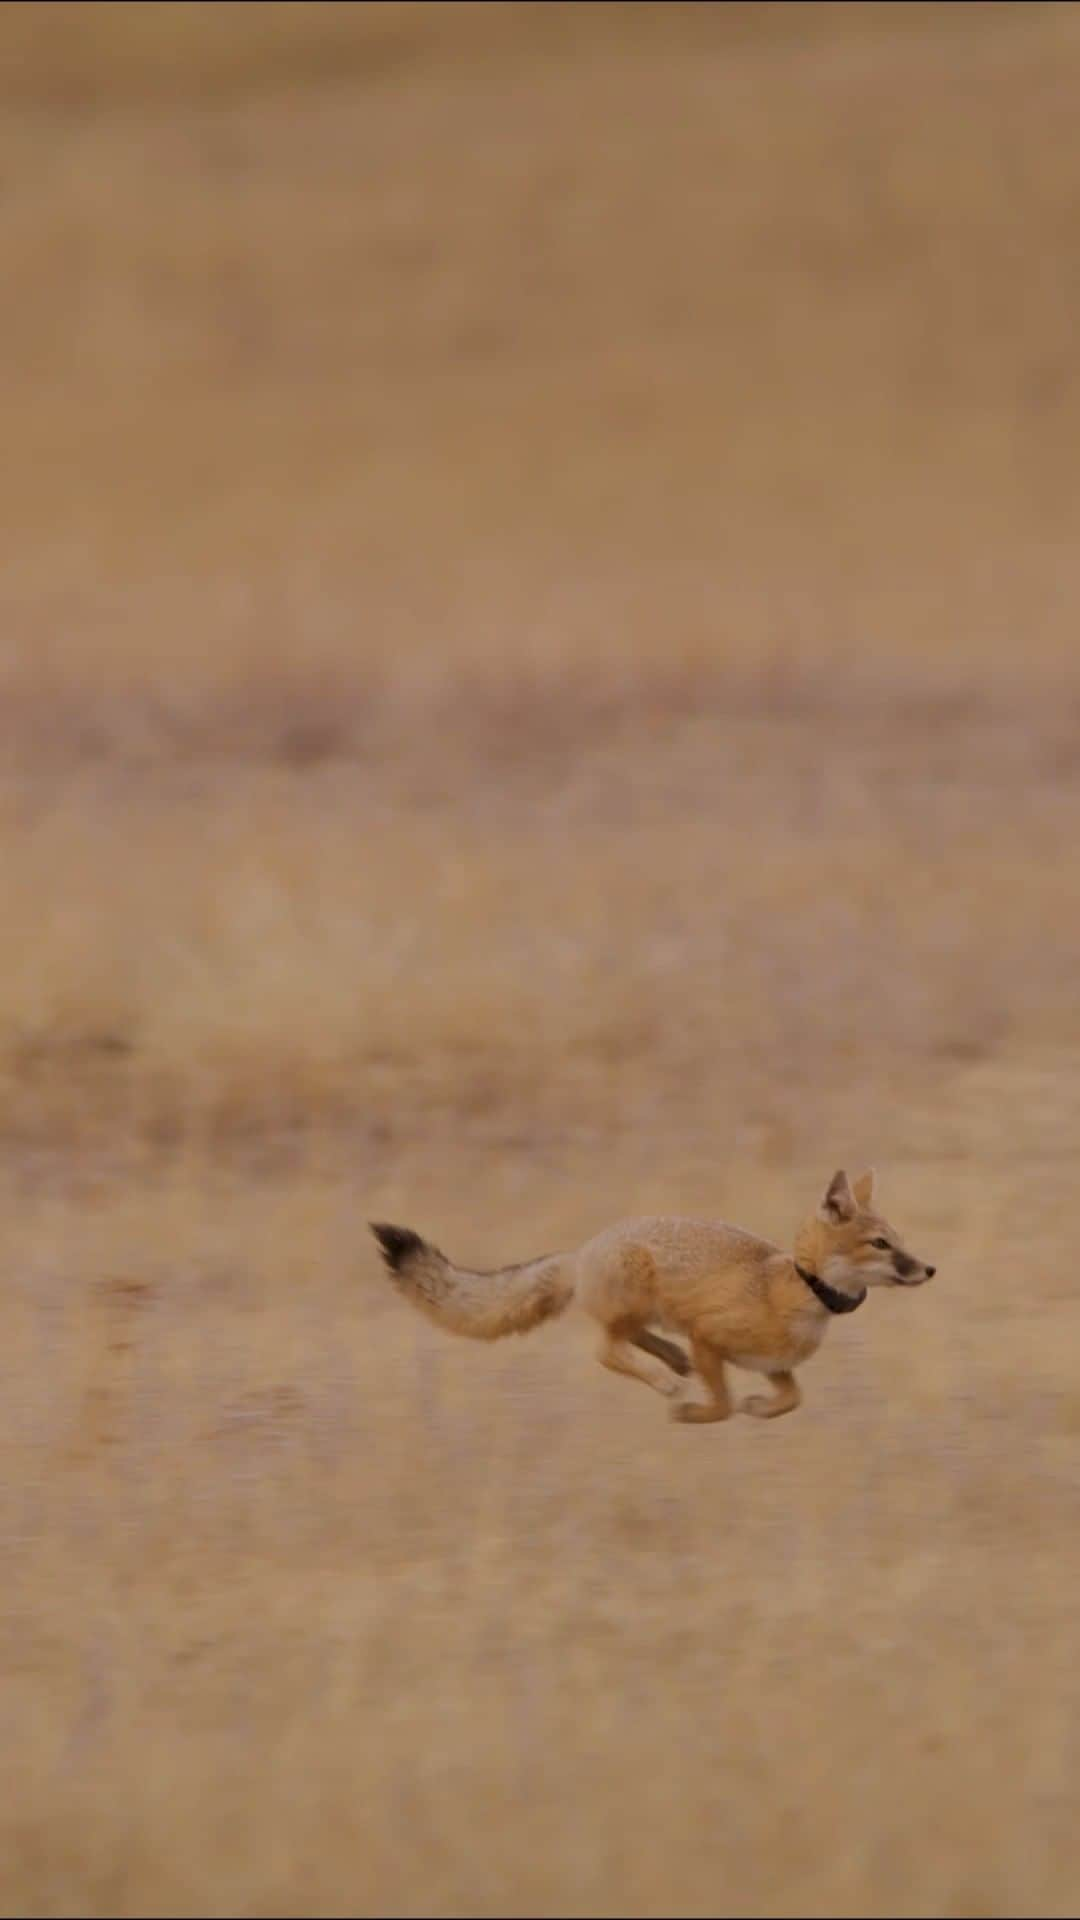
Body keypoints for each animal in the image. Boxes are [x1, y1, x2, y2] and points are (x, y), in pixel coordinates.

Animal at [365, 1159, 930, 1420]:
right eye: (881, 1244)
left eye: (899, 1240)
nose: (930, 1269)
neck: (793, 1289)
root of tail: (583, 1250)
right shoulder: (708, 1338)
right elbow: (722, 1404)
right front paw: (694, 1413)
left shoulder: (774, 1366)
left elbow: (792, 1398)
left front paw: (760, 1409)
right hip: (635, 1299)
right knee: (605, 1350)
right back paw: (665, 1379)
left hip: (644, 1311)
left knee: (630, 1340)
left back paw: (670, 1361)